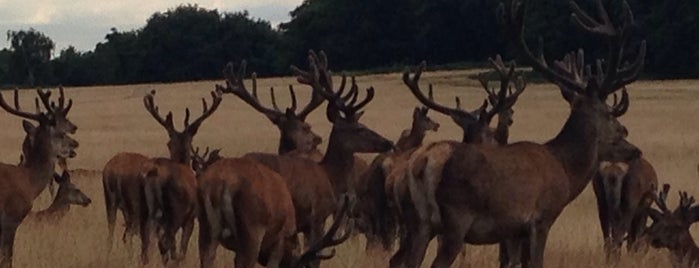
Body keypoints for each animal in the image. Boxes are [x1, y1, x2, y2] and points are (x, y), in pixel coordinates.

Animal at [392, 0, 648, 266]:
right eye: (610, 114)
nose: (633, 145)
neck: (565, 171)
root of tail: (424, 162)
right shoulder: (540, 218)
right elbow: (536, 261)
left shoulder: (515, 231)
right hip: (456, 217)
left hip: (418, 223)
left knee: (401, 260)